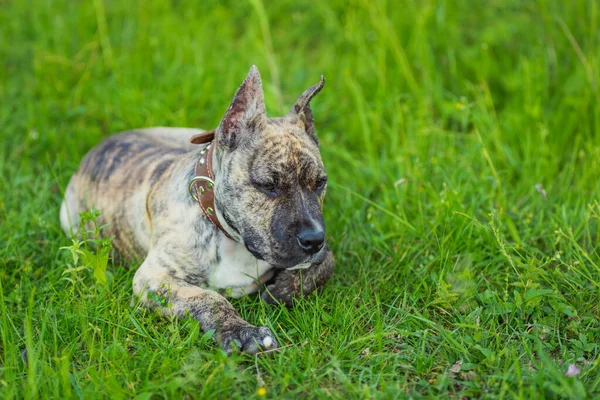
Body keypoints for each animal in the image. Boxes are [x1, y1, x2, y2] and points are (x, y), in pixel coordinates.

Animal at [60, 65, 336, 354]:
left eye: (320, 183)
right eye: (268, 185)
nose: (313, 240)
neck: (228, 237)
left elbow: (327, 261)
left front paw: (282, 289)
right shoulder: (153, 277)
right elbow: (208, 298)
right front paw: (243, 332)